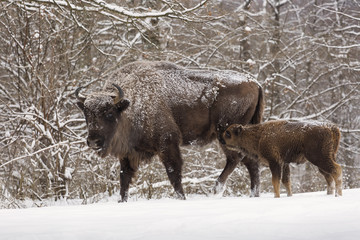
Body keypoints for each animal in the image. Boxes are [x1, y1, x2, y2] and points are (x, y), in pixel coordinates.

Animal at [75, 61, 264, 202]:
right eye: (86, 113)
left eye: (109, 113)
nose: (93, 141)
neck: (133, 103)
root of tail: (255, 82)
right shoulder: (128, 153)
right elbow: (124, 177)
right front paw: (122, 201)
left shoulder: (167, 143)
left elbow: (173, 172)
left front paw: (182, 198)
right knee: (250, 162)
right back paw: (253, 195)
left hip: (224, 132)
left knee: (235, 158)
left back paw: (215, 189)